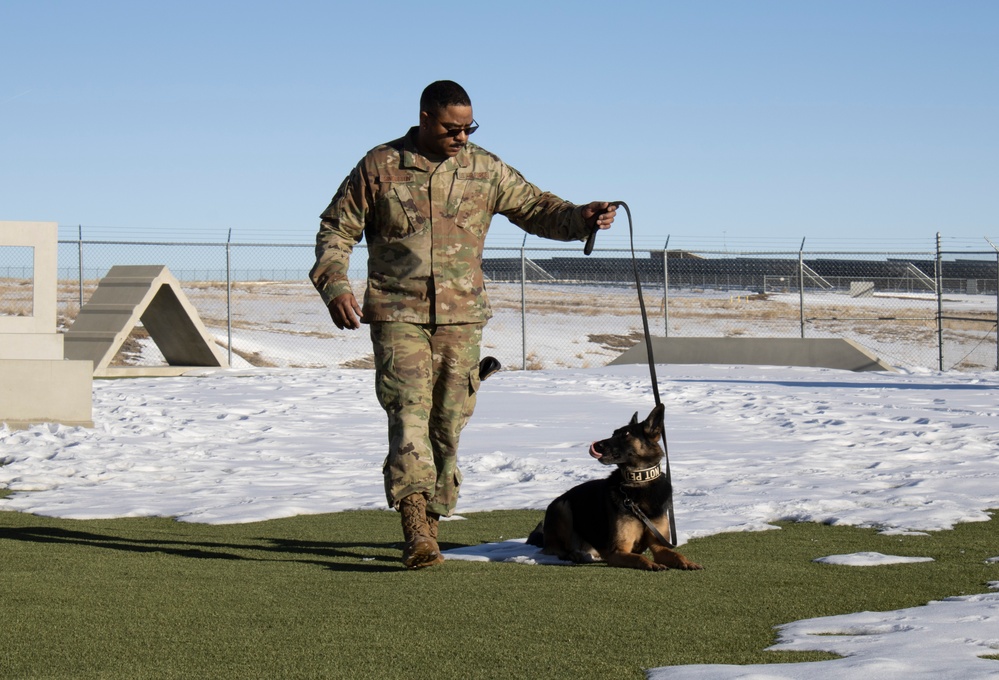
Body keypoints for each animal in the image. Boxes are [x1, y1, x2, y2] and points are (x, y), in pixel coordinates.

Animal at [528, 406, 700, 572]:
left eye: (626, 434)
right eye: (613, 433)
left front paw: (687, 562)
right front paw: (651, 564)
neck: (638, 483)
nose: (597, 445)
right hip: (562, 507)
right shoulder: (617, 551)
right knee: (557, 549)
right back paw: (574, 554)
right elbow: (639, 557)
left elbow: (676, 554)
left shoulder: (658, 546)